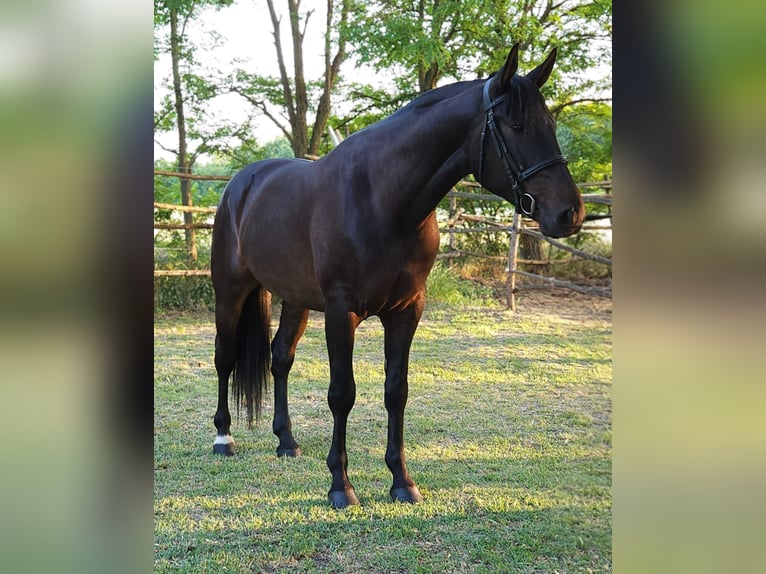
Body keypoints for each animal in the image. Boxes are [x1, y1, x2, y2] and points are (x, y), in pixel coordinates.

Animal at [210, 43, 585, 509]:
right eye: (516, 126)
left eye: (550, 125)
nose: (570, 213)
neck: (383, 200)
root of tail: (241, 183)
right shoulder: (342, 313)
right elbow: (342, 394)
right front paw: (341, 485)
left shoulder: (406, 311)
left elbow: (396, 392)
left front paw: (402, 481)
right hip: (230, 291)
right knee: (225, 357)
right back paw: (223, 438)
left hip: (294, 298)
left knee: (281, 358)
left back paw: (286, 441)